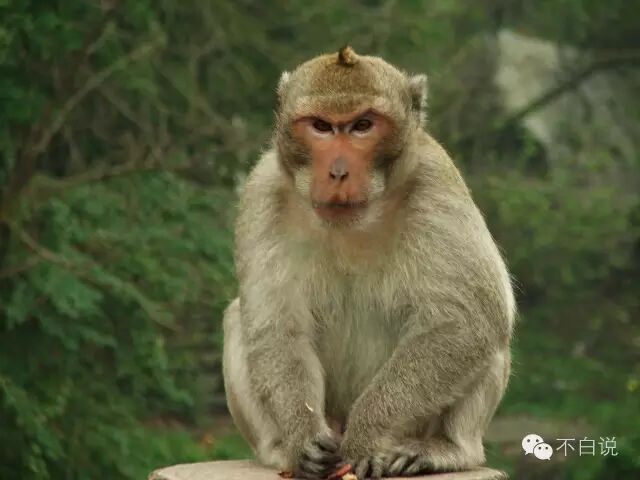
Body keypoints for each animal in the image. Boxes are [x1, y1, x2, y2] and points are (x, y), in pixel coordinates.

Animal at [222, 46, 515, 479]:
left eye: (363, 125)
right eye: (321, 126)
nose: (339, 171)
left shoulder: (436, 182)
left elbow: (468, 321)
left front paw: (365, 435)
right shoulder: (263, 190)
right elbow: (275, 327)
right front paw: (302, 438)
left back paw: (446, 449)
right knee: (235, 318)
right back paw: (280, 452)